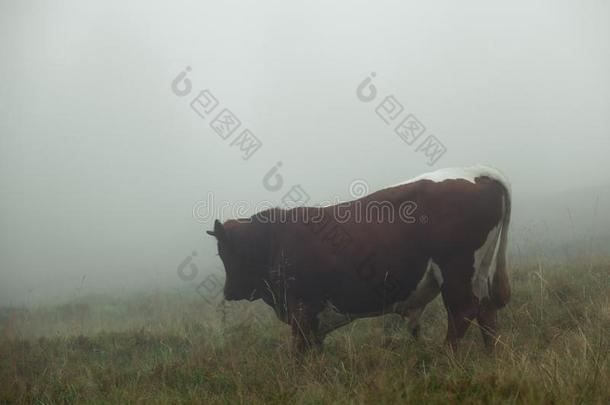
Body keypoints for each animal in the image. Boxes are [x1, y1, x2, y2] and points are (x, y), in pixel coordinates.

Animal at [207, 164, 510, 350]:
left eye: (225, 253)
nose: (229, 291)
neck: (274, 239)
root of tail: (477, 172)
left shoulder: (302, 310)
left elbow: (300, 355)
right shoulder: (313, 319)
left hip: (456, 271)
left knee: (462, 313)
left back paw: (447, 356)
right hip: (479, 272)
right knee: (486, 313)